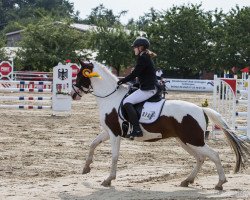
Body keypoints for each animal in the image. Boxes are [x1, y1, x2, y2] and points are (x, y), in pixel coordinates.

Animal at [71, 59, 250, 191]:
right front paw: (86, 167)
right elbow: (93, 144)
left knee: (214, 155)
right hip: (185, 141)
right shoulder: (109, 132)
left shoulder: (114, 134)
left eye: (80, 75)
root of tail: (201, 108)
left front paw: (108, 179)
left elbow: (114, 156)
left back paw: (220, 182)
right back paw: (187, 180)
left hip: (193, 140)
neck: (110, 97)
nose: (73, 94)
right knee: (201, 158)